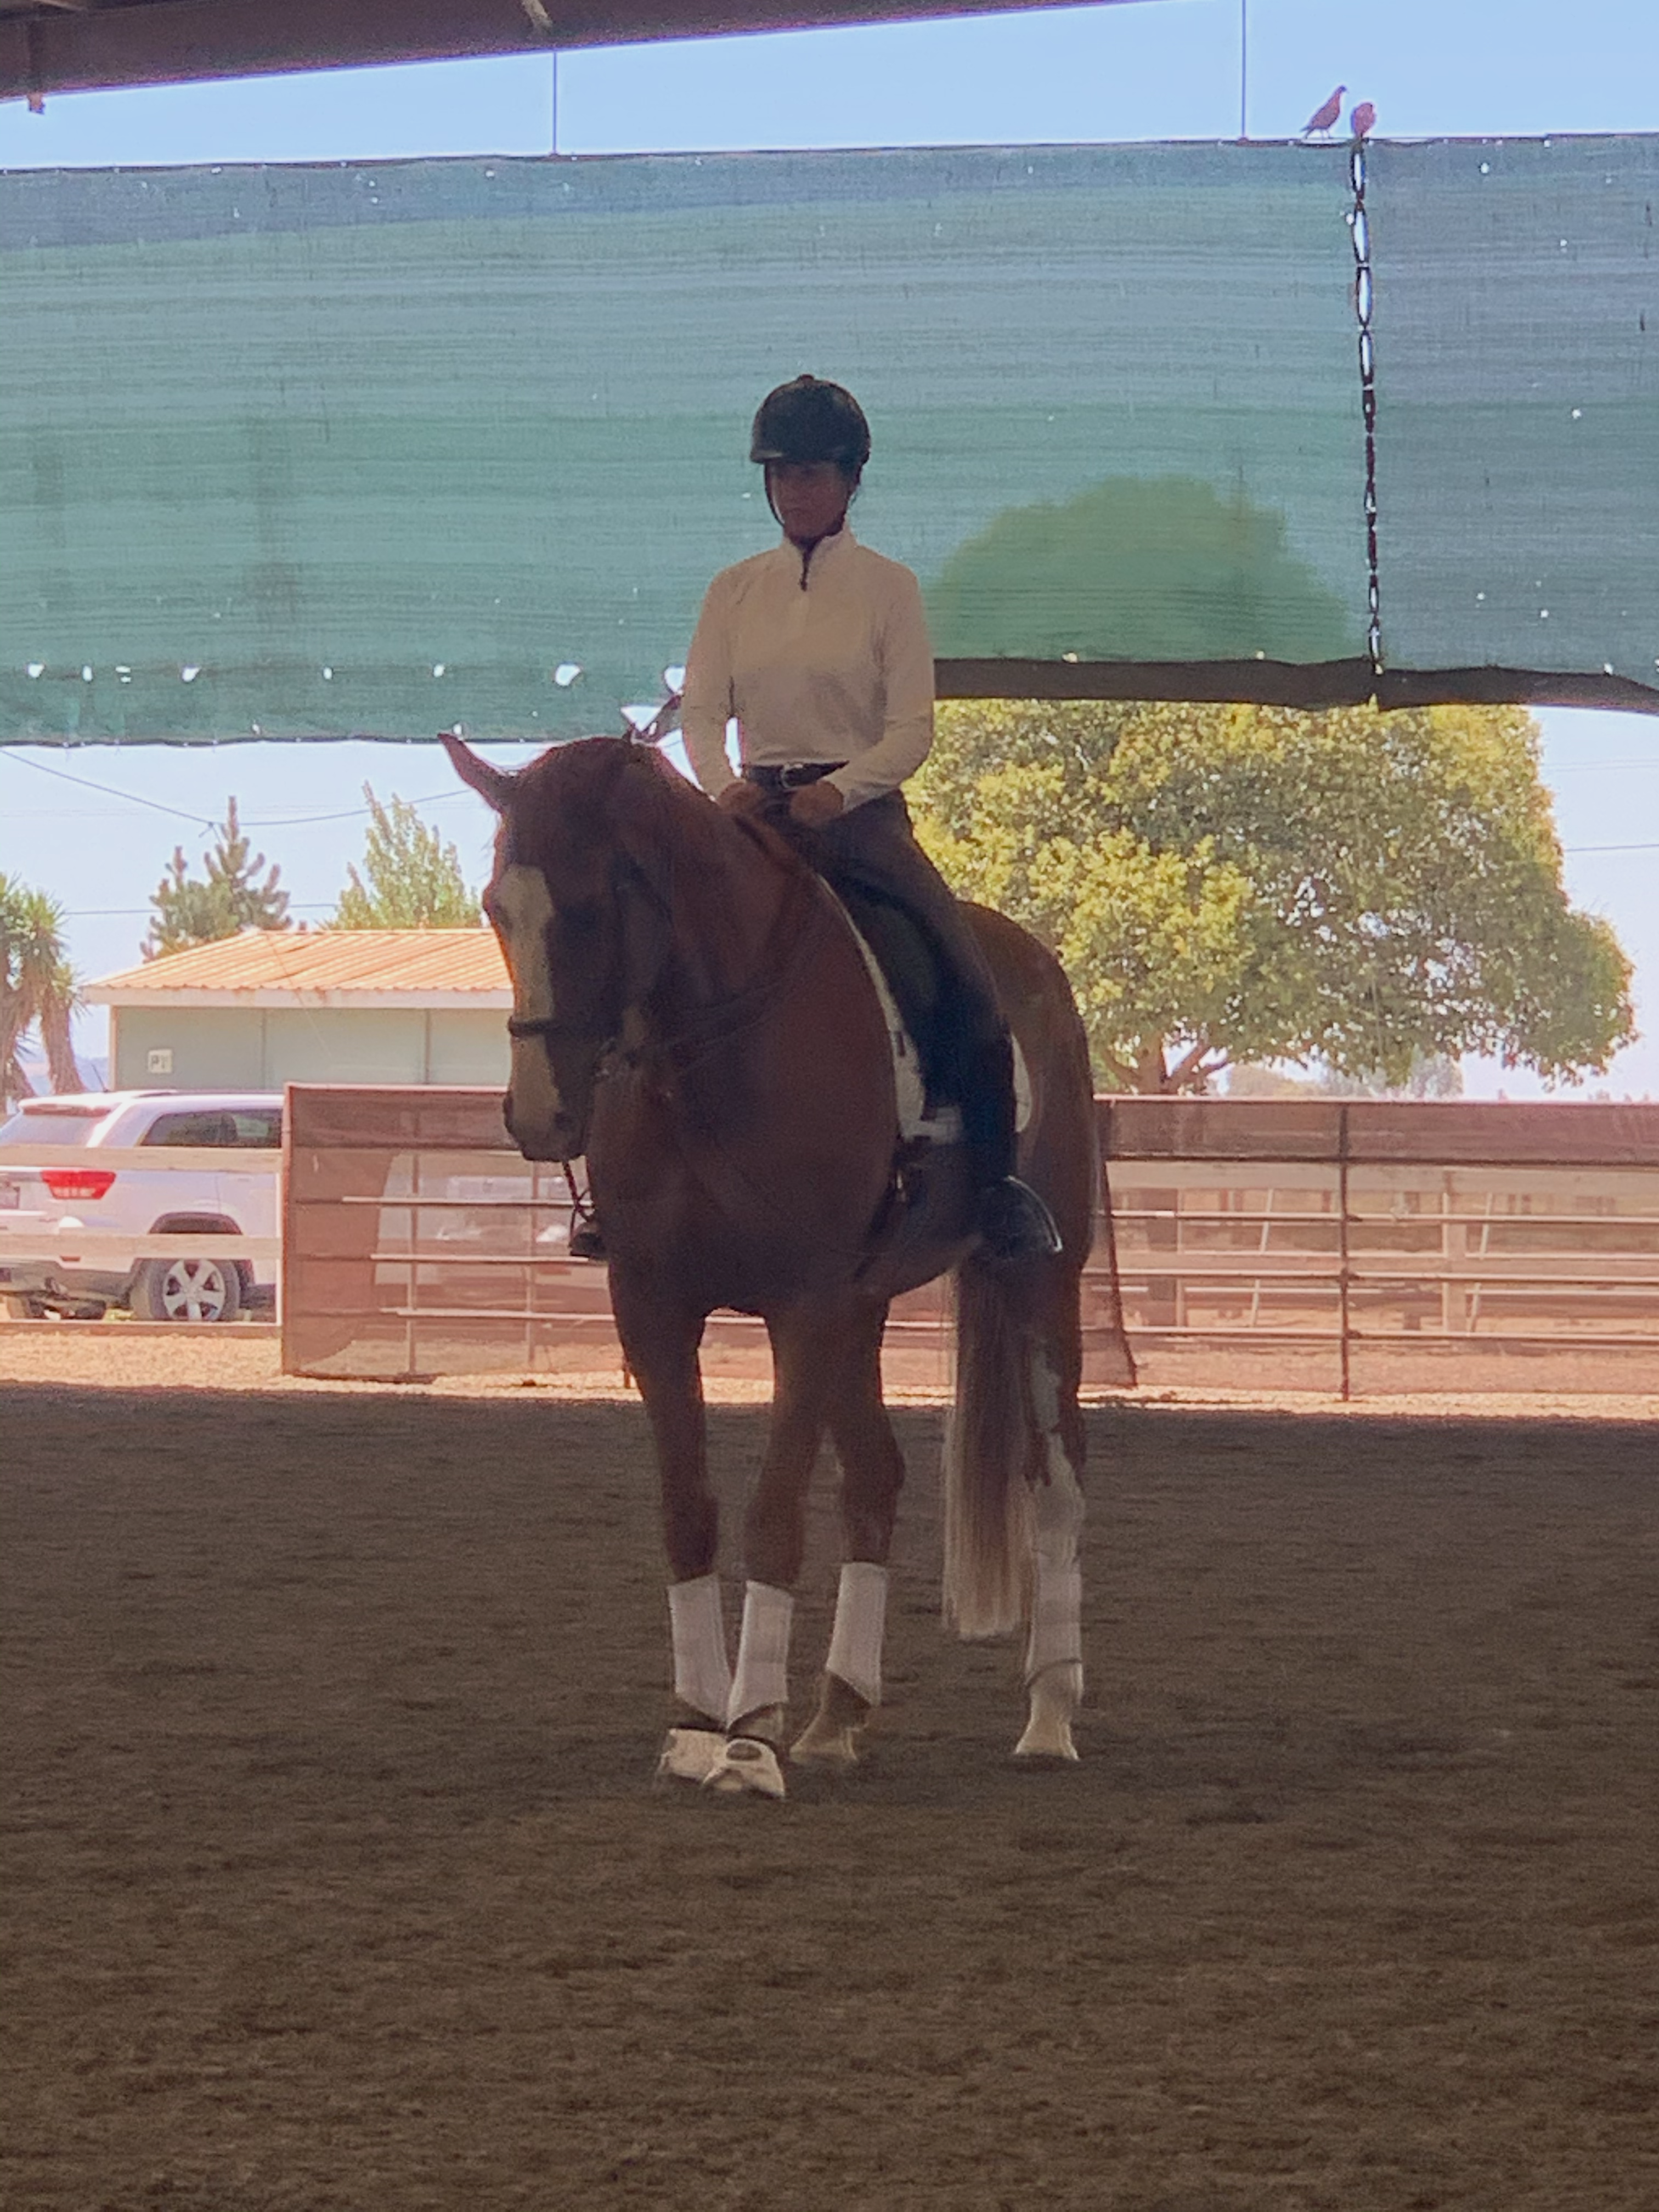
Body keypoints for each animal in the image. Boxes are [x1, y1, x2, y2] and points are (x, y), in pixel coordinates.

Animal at [451, 725, 1106, 1796]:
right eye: (495, 907)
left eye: (591, 905)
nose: (538, 1115)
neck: (711, 1049)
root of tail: (1034, 962)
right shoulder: (654, 1305)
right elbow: (690, 1512)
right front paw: (694, 1726)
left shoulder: (800, 1304)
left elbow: (772, 1516)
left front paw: (750, 1734)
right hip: (861, 1309)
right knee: (877, 1480)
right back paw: (838, 1715)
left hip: (1037, 1283)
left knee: (1056, 1481)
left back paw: (1048, 1715)